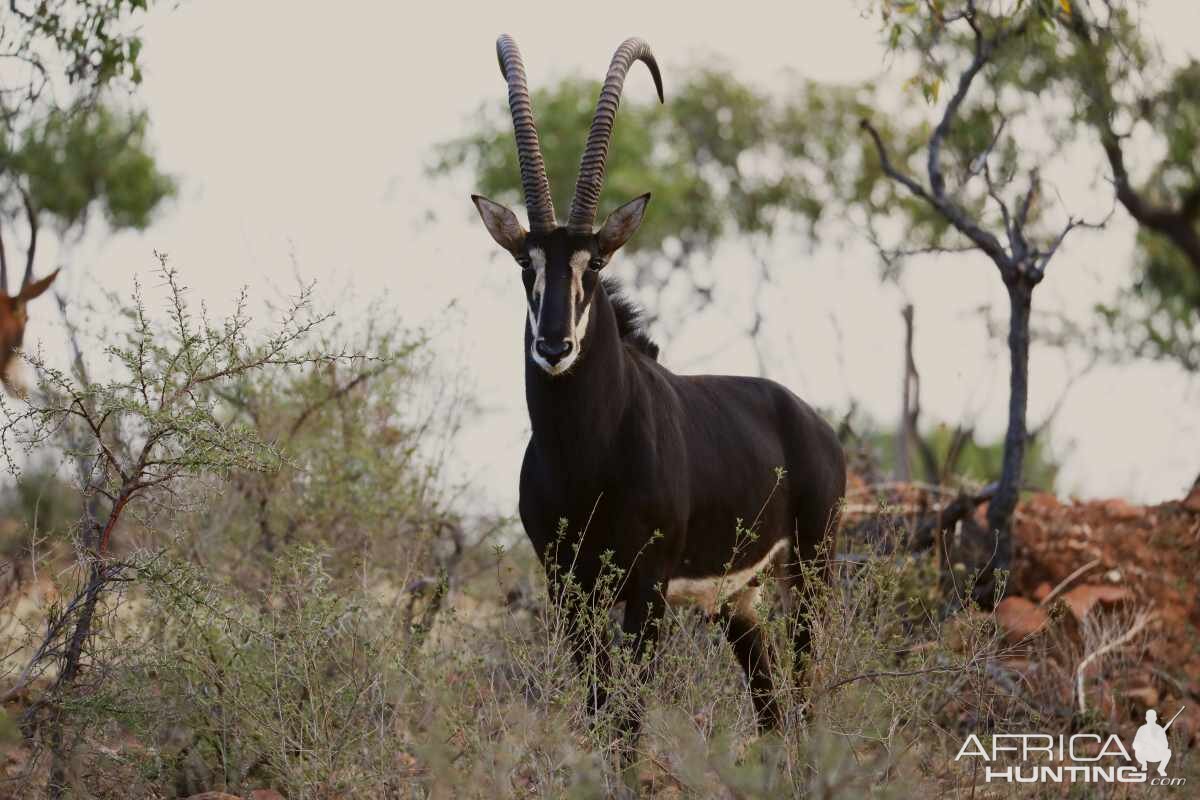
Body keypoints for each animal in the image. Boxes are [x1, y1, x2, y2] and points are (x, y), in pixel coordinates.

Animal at [472, 35, 849, 738]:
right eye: (524, 265)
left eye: (594, 263)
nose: (554, 347)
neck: (584, 454)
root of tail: (811, 422)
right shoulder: (567, 587)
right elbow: (600, 711)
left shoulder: (647, 589)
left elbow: (626, 717)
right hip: (738, 599)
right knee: (770, 704)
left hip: (811, 567)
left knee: (805, 692)